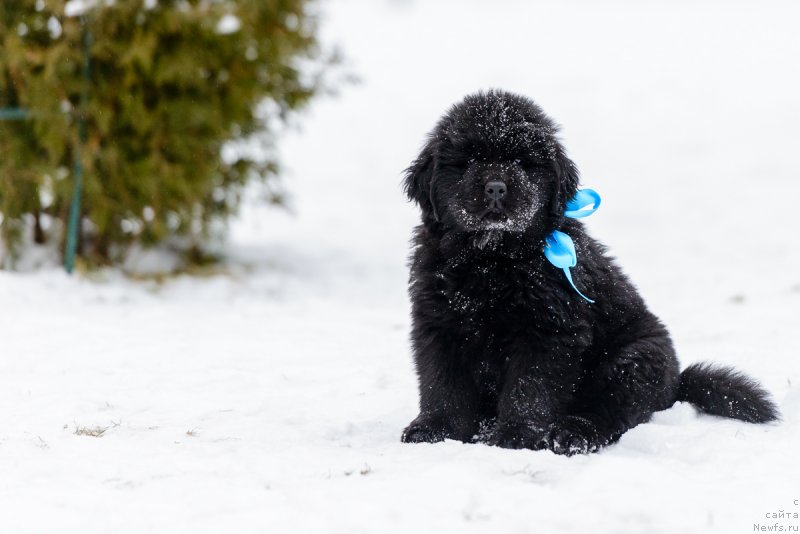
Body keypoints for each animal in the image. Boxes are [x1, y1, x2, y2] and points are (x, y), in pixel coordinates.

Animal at [404, 89, 780, 456]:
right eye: (467, 162)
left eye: (523, 163)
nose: (496, 187)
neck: (492, 260)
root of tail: (676, 385)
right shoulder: (438, 324)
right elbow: (442, 384)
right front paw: (436, 431)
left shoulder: (548, 331)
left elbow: (529, 389)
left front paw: (517, 437)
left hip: (634, 361)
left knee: (609, 413)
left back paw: (570, 435)